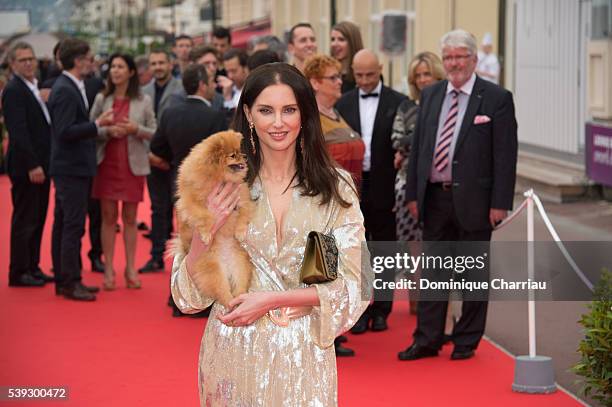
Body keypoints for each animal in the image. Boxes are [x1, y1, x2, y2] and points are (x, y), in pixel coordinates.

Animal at [175, 131, 253, 310]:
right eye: (233, 155)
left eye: (240, 150)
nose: (245, 156)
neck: (220, 179)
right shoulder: (191, 203)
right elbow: (205, 216)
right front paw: (205, 235)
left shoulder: (241, 198)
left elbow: (244, 214)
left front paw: (240, 232)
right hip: (213, 270)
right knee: (222, 292)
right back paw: (231, 303)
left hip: (240, 263)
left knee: (240, 285)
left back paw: (240, 300)